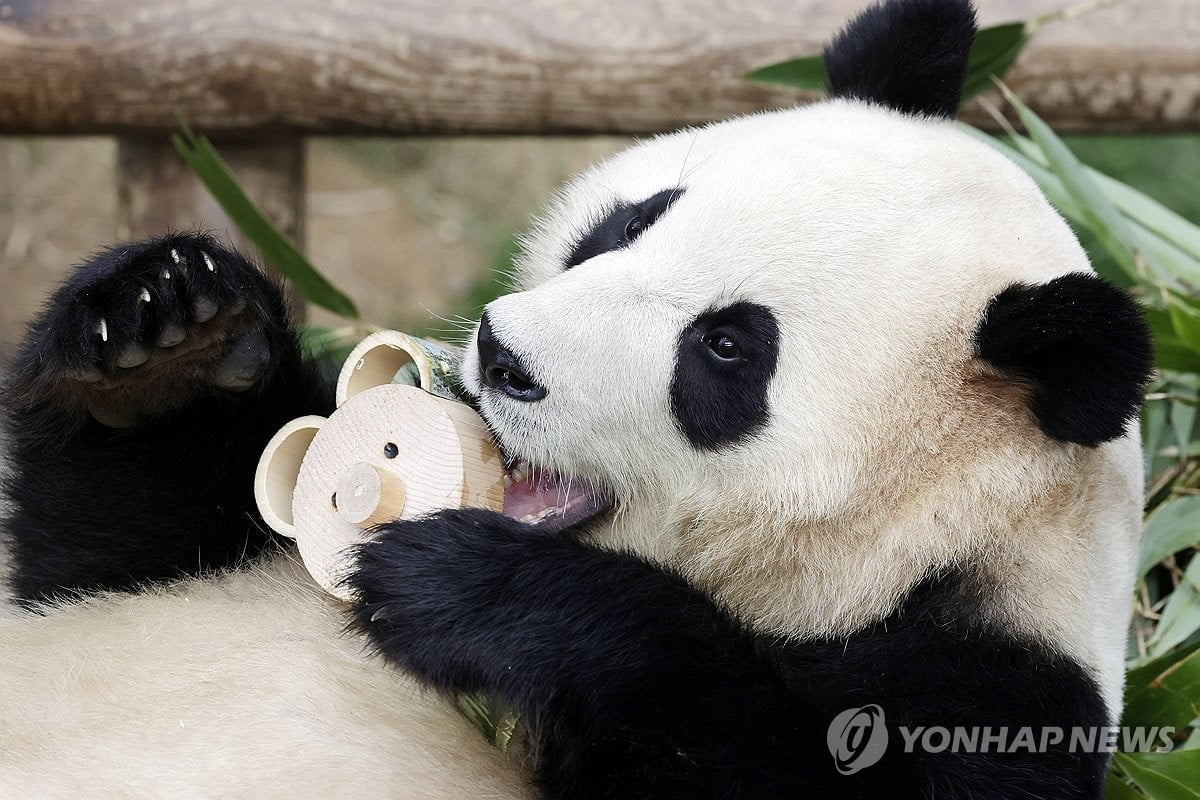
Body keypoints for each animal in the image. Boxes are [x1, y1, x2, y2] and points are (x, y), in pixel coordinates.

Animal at [0, 0, 1152, 796]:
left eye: (725, 349)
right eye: (630, 223)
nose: (504, 355)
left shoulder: (989, 684)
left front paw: (472, 589)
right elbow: (108, 542)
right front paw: (166, 336)